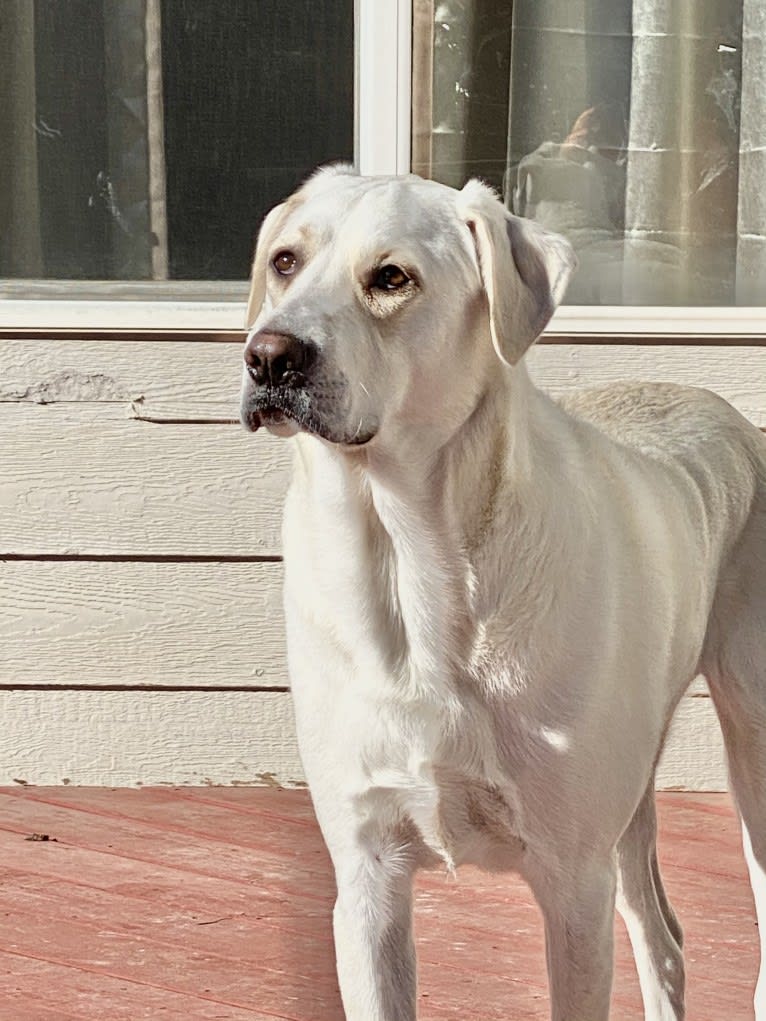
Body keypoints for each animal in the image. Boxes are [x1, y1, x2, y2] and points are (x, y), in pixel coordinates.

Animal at [240, 167, 766, 1021]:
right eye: (286, 260)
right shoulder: (367, 878)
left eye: (392, 278)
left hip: (750, 753)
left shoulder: (573, 883)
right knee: (664, 936)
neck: (408, 565)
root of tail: (731, 415)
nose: (269, 358)